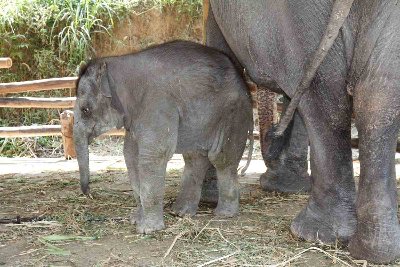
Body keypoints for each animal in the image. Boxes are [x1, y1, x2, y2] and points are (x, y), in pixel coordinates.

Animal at [73, 41, 252, 234]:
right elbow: (130, 155)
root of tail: (245, 84)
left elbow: (153, 156)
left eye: (85, 110)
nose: (88, 192)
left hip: (233, 115)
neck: (116, 62)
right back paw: (181, 213)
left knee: (221, 159)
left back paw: (224, 214)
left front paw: (148, 230)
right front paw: (135, 221)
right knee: (195, 158)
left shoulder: (158, 105)